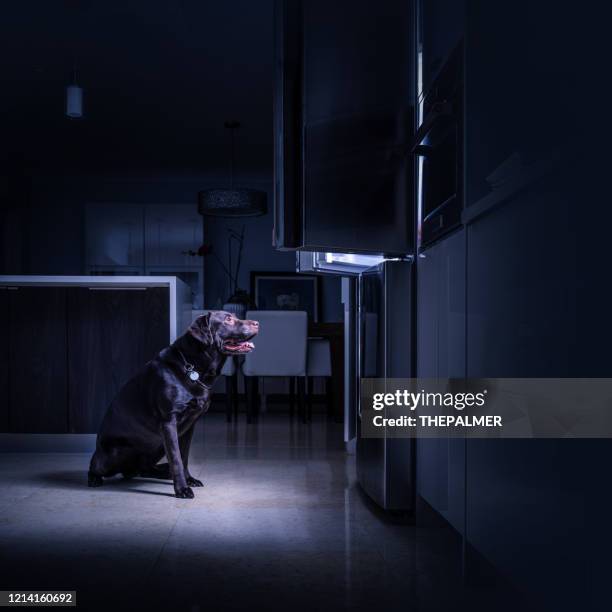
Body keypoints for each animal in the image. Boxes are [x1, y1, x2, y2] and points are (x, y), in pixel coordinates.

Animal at [88, 310, 258, 498]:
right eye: (228, 319)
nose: (257, 323)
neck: (193, 368)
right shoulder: (169, 422)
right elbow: (176, 458)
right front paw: (182, 489)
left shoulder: (189, 425)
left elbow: (183, 456)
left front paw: (189, 479)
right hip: (114, 453)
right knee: (95, 467)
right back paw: (95, 479)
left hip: (157, 446)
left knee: (144, 468)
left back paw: (162, 472)